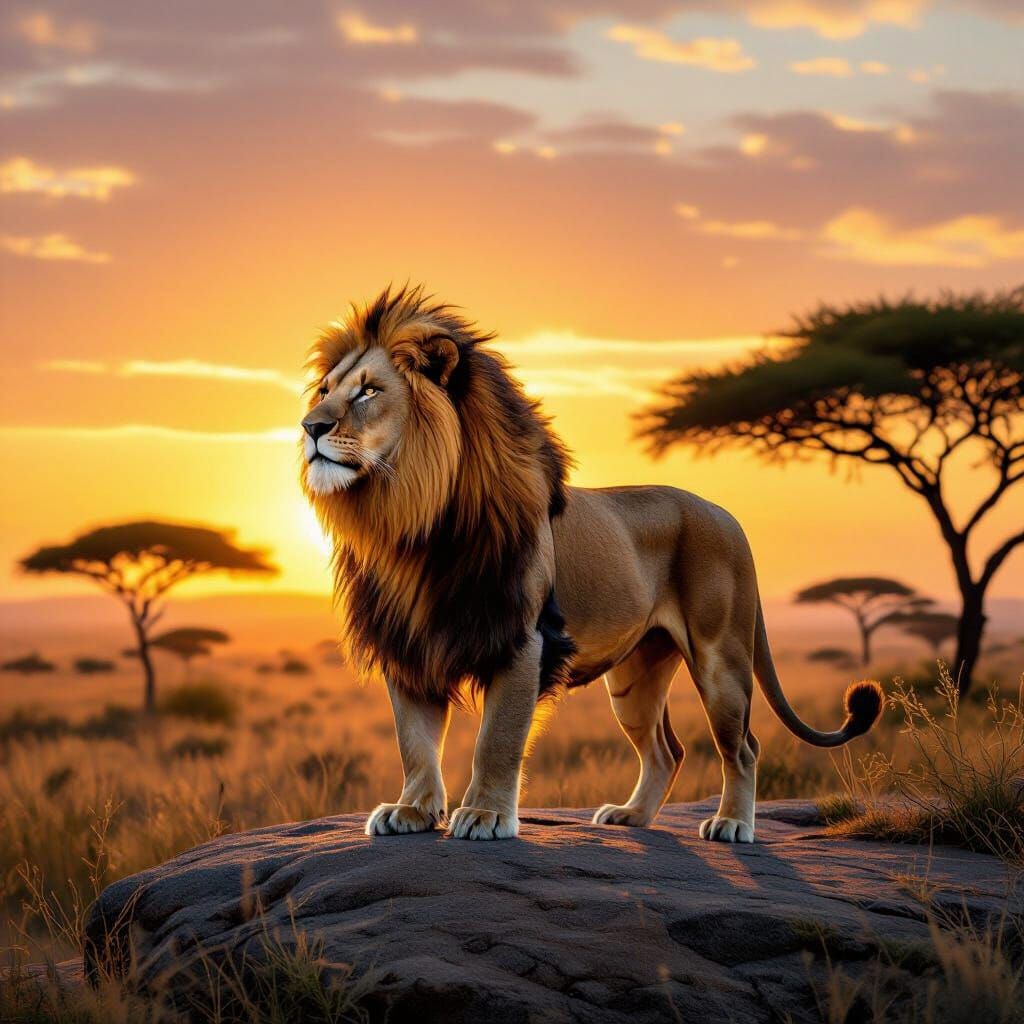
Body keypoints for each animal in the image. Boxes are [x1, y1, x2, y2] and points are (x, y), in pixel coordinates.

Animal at [300, 287, 882, 843]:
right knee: (667, 751)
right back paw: (631, 816)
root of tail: (727, 516)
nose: (309, 426)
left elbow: (496, 741)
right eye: (326, 391)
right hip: (633, 679)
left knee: (743, 747)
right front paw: (412, 811)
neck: (410, 524)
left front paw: (485, 815)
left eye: (369, 391)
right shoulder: (409, 643)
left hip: (720, 660)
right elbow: (414, 743)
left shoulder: (523, 640)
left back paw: (733, 825)